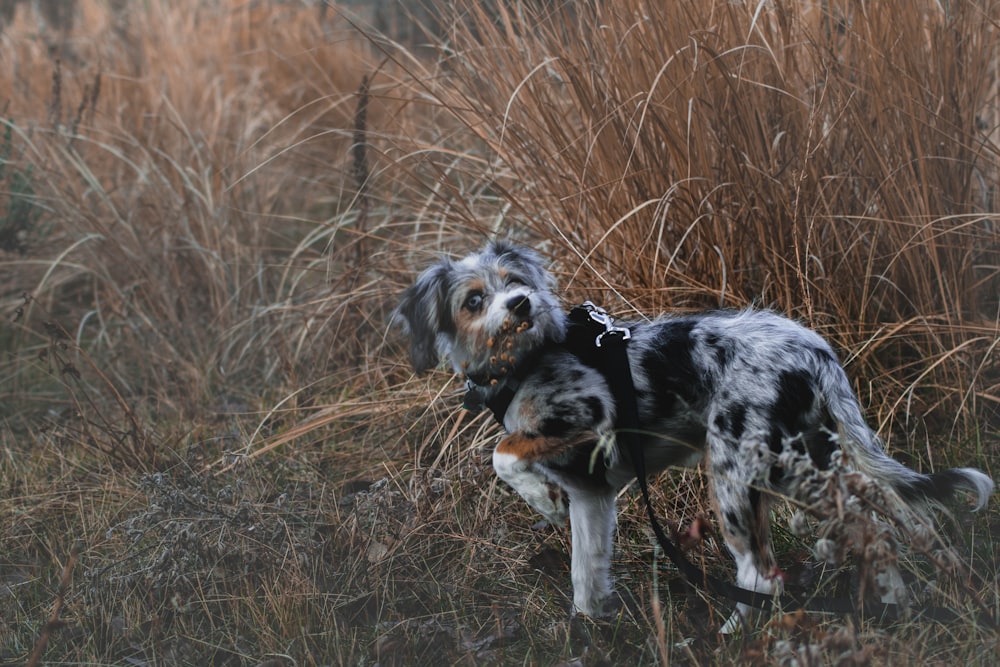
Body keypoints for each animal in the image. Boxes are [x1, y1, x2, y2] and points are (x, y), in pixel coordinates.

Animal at [394, 243, 996, 628]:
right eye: (474, 300)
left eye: (516, 283)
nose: (522, 304)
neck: (525, 362)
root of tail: (815, 349)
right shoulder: (593, 495)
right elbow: (586, 573)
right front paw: (592, 631)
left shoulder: (591, 412)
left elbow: (504, 451)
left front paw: (540, 499)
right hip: (802, 465)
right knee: (878, 527)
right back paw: (898, 606)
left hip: (738, 476)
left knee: (762, 574)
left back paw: (735, 638)